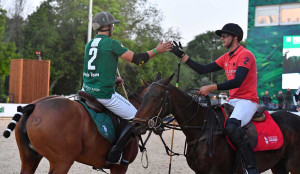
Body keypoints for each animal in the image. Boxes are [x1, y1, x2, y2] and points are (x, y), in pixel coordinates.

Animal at [133, 73, 300, 174]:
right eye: (144, 96)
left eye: (156, 97)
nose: (136, 125)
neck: (202, 128)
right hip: (278, 165)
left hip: (294, 165)